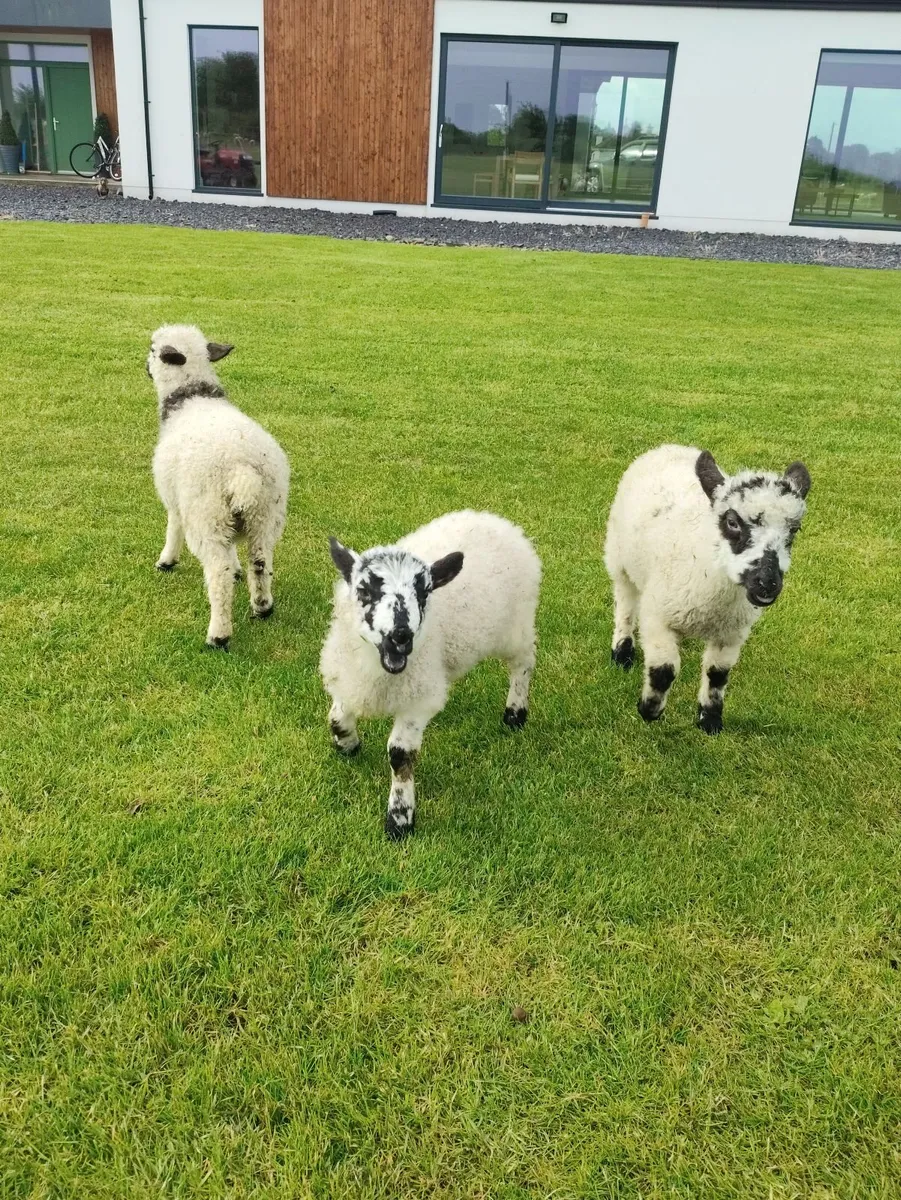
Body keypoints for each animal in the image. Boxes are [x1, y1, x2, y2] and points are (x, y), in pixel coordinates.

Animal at [147, 324, 290, 650]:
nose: (145, 368)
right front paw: (238, 569)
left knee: (218, 573)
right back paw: (262, 606)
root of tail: (241, 469)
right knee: (260, 561)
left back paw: (218, 635)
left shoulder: (175, 500)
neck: (191, 398)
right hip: (265, 514)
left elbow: (172, 529)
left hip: (207, 513)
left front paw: (166, 561)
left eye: (152, 349)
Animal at [320, 510, 541, 839]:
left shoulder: (418, 699)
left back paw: (515, 713)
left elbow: (400, 755)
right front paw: (348, 745)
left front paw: (400, 819)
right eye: (363, 590)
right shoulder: (348, 680)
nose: (401, 635)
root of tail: (501, 522)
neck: (379, 669)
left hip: (516, 626)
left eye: (424, 593)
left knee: (523, 664)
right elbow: (336, 718)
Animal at [603, 444, 811, 733]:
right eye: (732, 522)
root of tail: (670, 446)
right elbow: (664, 670)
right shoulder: (656, 616)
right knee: (624, 602)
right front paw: (649, 710)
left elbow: (717, 674)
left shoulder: (732, 632)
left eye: (794, 529)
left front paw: (710, 720)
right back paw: (622, 652)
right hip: (618, 556)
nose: (767, 582)